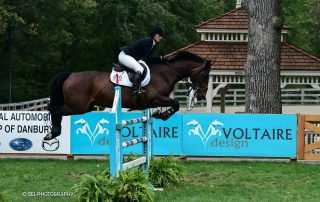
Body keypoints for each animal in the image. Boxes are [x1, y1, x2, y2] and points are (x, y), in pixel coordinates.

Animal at [43, 51, 212, 140]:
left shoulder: (155, 101)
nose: (202, 95)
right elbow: (175, 104)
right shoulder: (155, 98)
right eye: (204, 75)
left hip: (85, 107)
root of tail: (70, 75)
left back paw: (52, 133)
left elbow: (173, 105)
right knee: (53, 109)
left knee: (54, 108)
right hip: (76, 106)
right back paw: (52, 133)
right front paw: (161, 115)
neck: (165, 73)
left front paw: (159, 114)